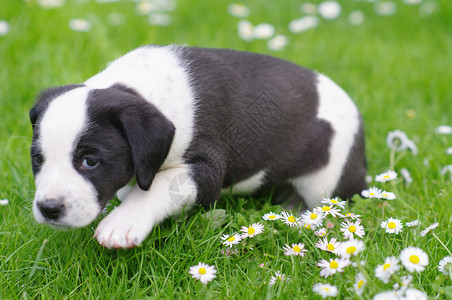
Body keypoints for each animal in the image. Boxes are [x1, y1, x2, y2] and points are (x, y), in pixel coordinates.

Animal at [29, 45, 368, 248]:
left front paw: (123, 221)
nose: (48, 209)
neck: (140, 89)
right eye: (38, 159)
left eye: (90, 161)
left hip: (328, 182)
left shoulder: (206, 168)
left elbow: (158, 186)